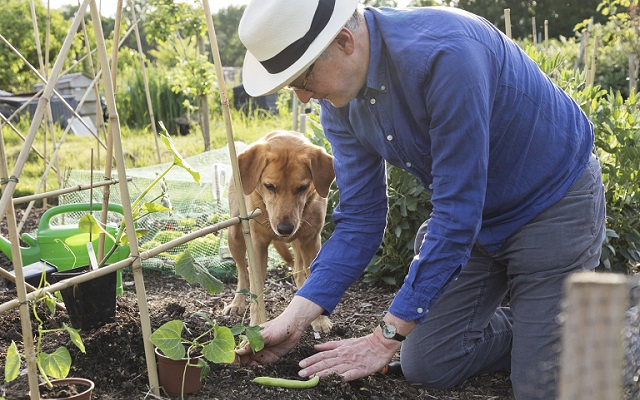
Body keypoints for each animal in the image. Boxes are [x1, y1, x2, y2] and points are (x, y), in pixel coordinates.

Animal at [224, 130, 336, 332]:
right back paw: (237, 303)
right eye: (269, 186)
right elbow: (256, 289)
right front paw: (257, 324)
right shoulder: (257, 245)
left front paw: (318, 319)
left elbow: (312, 278)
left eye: (302, 187)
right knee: (242, 273)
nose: (285, 229)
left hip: (300, 243)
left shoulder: (312, 240)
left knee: (298, 271)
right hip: (235, 233)